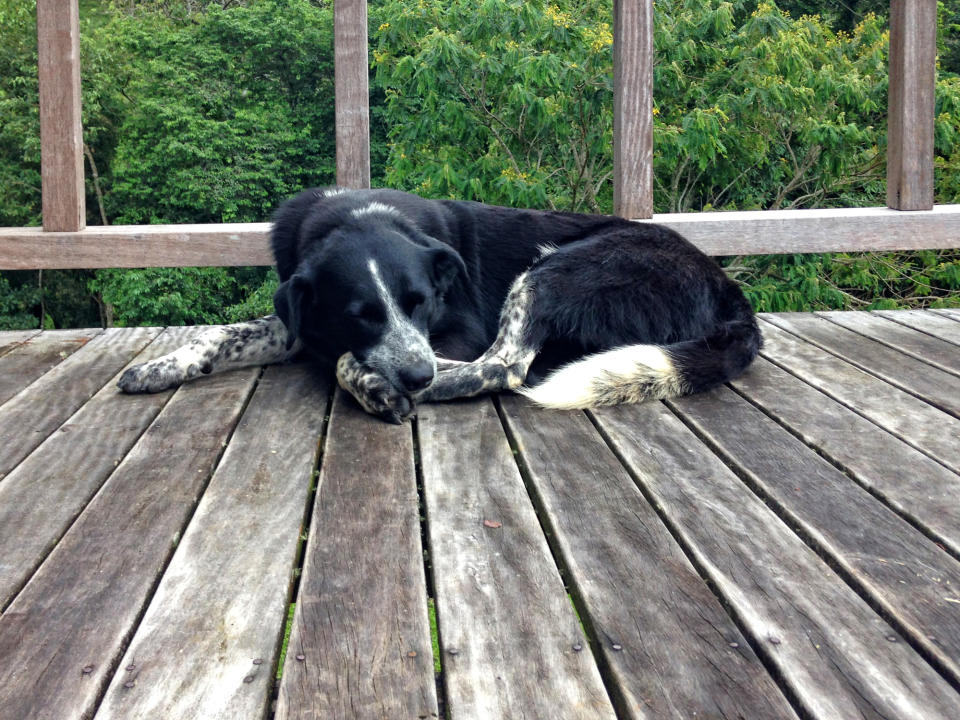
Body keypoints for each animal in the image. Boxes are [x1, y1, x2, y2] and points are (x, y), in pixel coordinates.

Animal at [116, 187, 760, 422]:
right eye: (358, 313)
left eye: (421, 302)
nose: (416, 374)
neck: (356, 217)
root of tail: (726, 287)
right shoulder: (299, 319)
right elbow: (221, 334)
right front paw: (160, 365)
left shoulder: (455, 331)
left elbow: (350, 361)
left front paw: (373, 385)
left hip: (560, 267)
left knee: (504, 365)